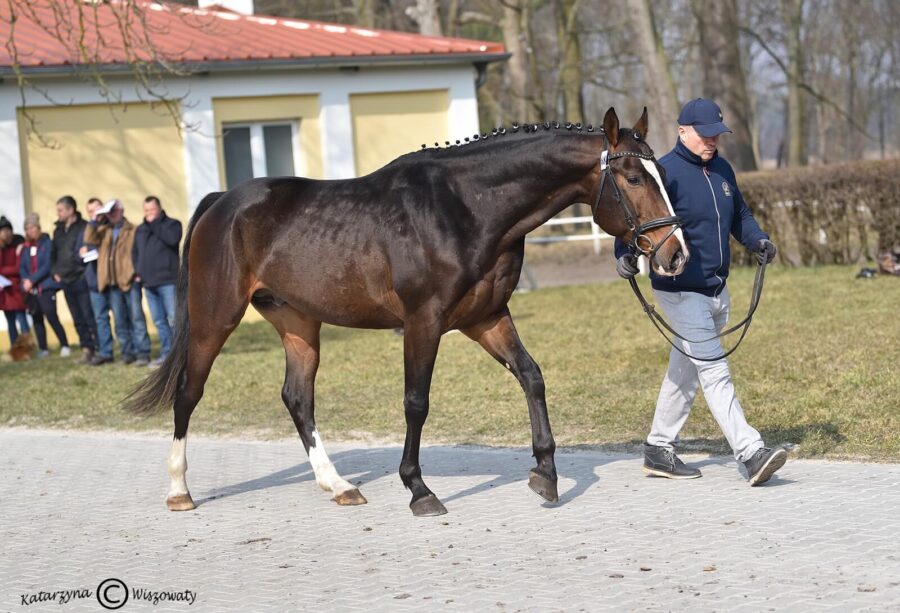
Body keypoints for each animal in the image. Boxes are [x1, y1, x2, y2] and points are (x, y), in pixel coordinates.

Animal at [125, 106, 688, 516]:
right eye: (633, 178)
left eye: (661, 173)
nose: (674, 254)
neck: (466, 207)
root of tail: (221, 202)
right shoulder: (424, 321)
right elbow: (416, 401)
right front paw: (419, 490)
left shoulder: (486, 318)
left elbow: (532, 376)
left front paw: (545, 475)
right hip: (215, 318)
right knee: (188, 393)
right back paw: (179, 491)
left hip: (298, 321)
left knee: (297, 398)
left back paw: (338, 485)